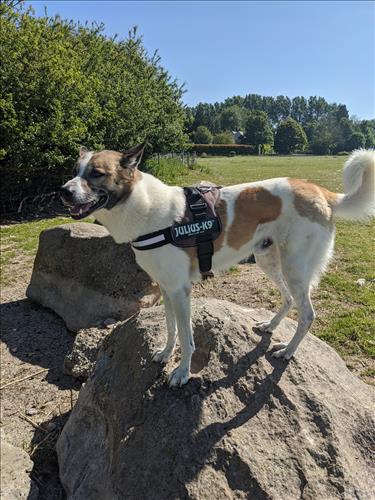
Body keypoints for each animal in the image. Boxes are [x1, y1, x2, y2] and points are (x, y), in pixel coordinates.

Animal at [60, 145, 374, 386]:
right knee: (287, 299)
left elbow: (187, 338)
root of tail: (321, 192)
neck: (144, 208)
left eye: (96, 173)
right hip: (269, 260)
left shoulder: (181, 291)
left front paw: (182, 373)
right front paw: (165, 353)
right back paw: (271, 326)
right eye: (75, 170)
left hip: (295, 267)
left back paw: (287, 351)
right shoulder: (166, 288)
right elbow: (171, 328)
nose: (63, 191)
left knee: (307, 314)